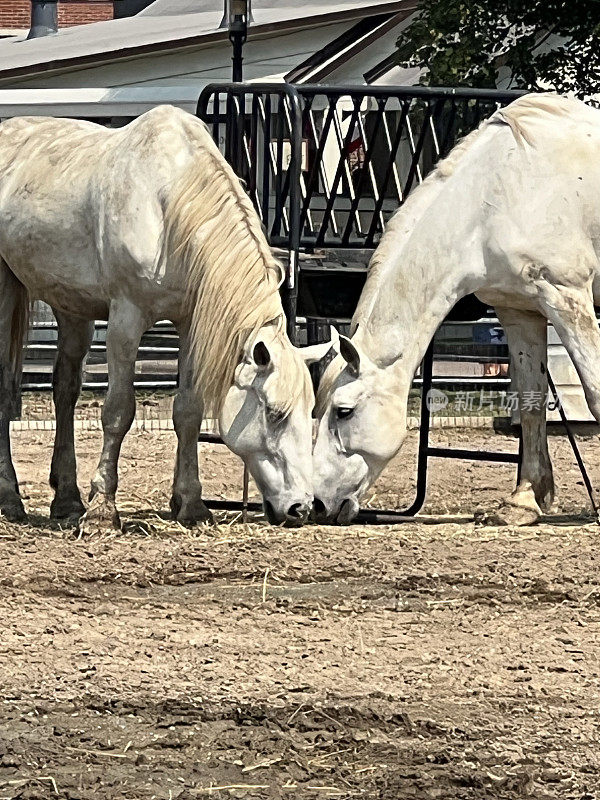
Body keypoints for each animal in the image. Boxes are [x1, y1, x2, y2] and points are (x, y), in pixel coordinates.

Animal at [0, 106, 332, 532]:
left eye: (311, 411)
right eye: (274, 413)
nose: (300, 508)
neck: (167, 204)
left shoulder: (191, 326)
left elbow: (188, 411)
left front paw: (190, 503)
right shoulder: (125, 321)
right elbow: (118, 412)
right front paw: (103, 509)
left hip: (71, 306)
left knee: (65, 390)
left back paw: (68, 499)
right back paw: (10, 498)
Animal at [312, 94, 600, 524]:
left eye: (343, 412)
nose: (317, 503)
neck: (502, 192)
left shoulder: (566, 297)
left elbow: (595, 393)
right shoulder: (520, 311)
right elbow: (530, 403)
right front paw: (523, 502)